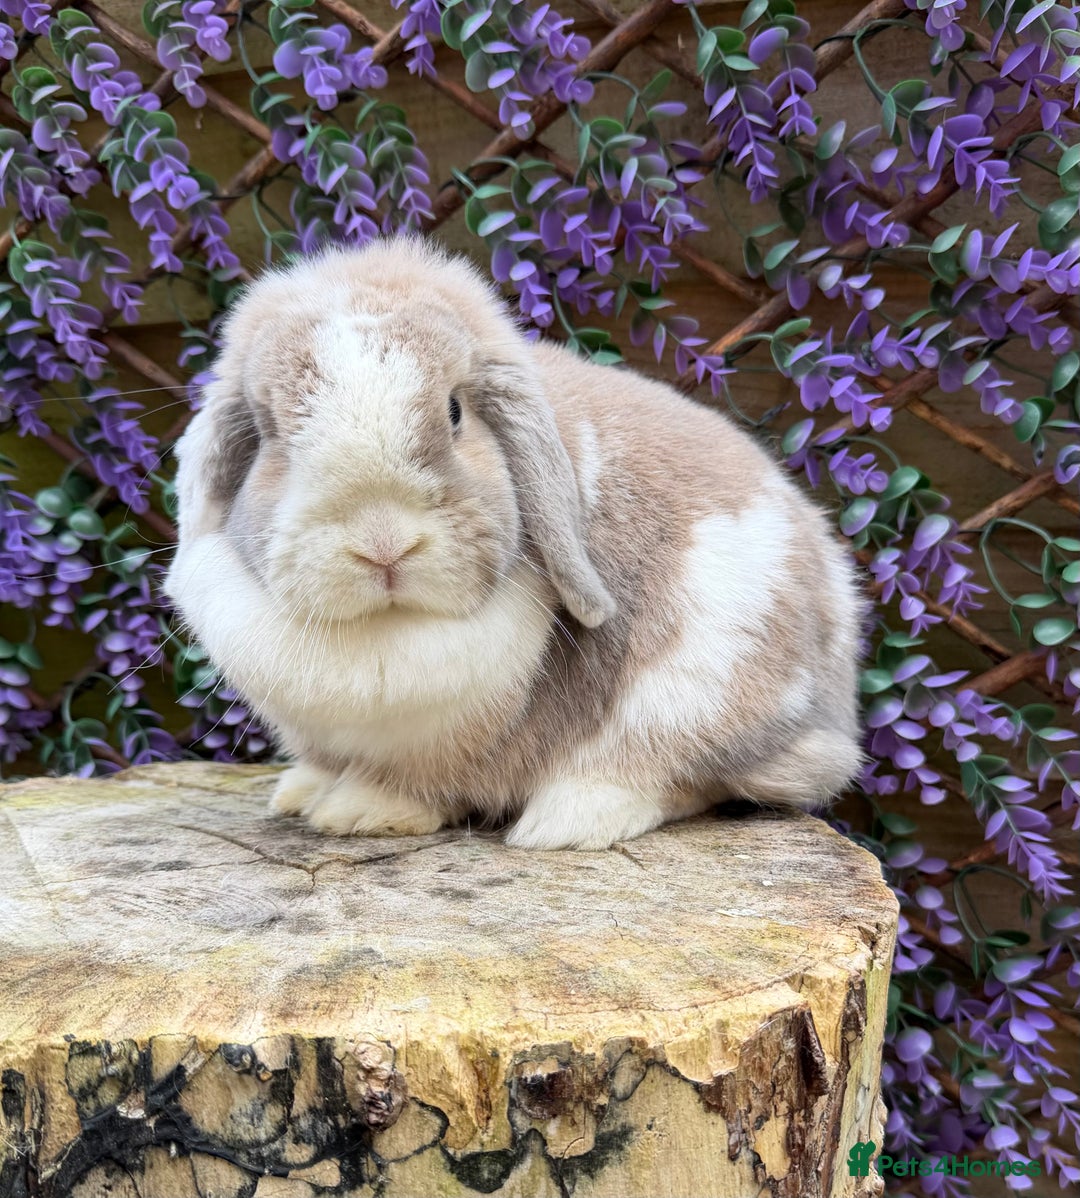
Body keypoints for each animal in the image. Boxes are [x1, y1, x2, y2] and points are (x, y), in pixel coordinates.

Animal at [164, 237, 864, 850]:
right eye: (270, 435)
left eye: (455, 411)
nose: (384, 543)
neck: (388, 628)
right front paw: (303, 792)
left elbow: (417, 786)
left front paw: (361, 811)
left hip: (703, 690)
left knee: (680, 775)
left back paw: (569, 820)